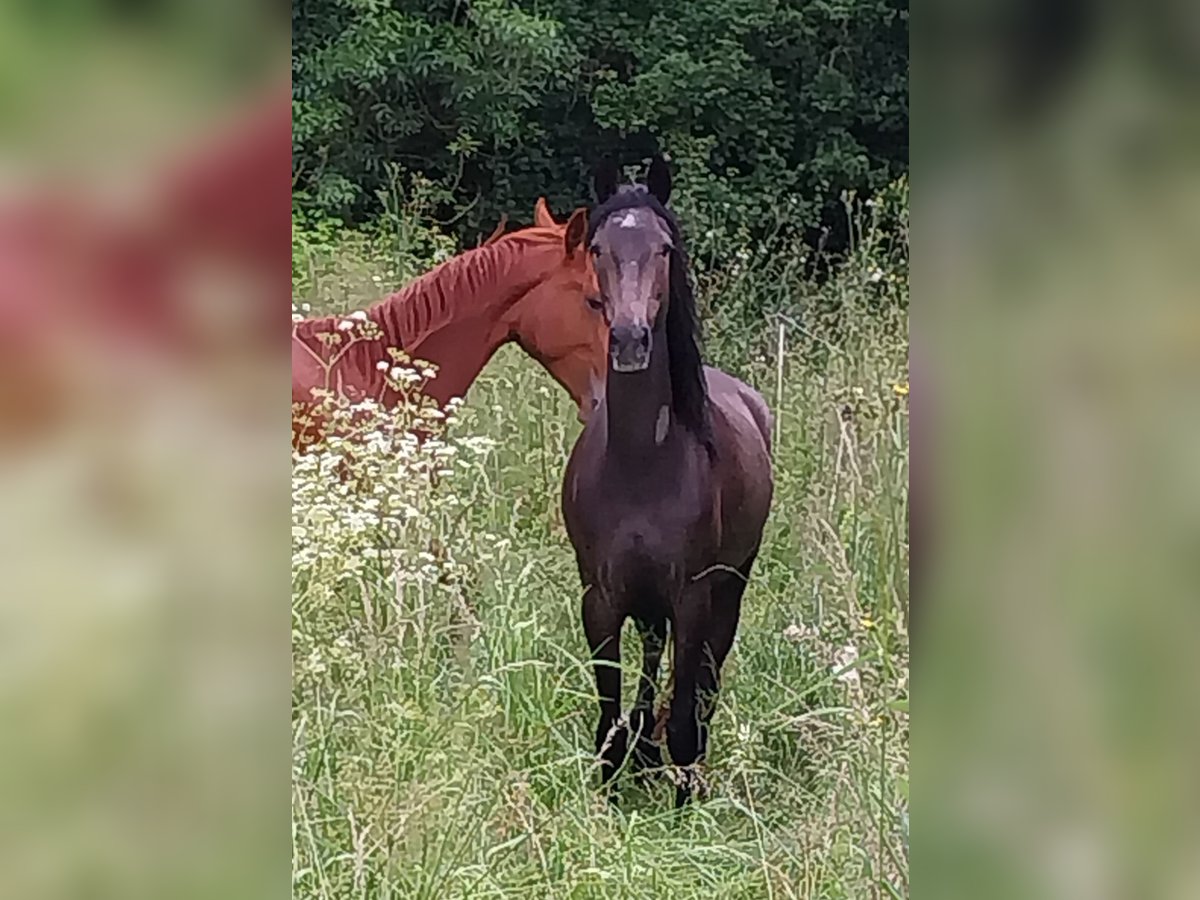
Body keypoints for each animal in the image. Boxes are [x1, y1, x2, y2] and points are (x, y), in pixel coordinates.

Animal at [559, 158, 772, 816]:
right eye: (598, 248)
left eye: (664, 248)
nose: (630, 340)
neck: (640, 464)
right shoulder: (600, 597)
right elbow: (608, 713)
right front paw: (611, 789)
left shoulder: (693, 597)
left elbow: (683, 713)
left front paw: (683, 804)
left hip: (729, 588)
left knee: (702, 683)